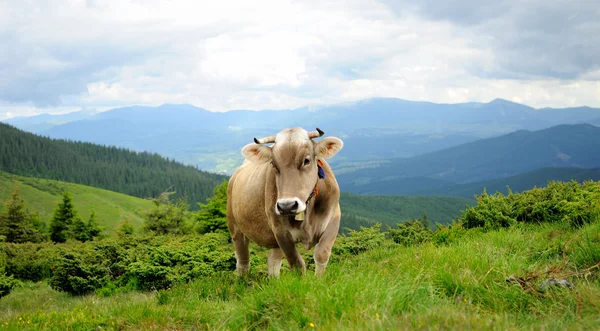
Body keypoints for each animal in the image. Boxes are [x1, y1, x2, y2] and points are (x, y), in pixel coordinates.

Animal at [227, 127, 344, 278]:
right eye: (273, 164)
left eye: (306, 160)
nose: (286, 206)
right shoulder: (280, 231)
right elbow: (297, 264)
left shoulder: (334, 218)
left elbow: (321, 254)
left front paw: (319, 279)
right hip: (235, 228)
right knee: (243, 262)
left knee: (273, 260)